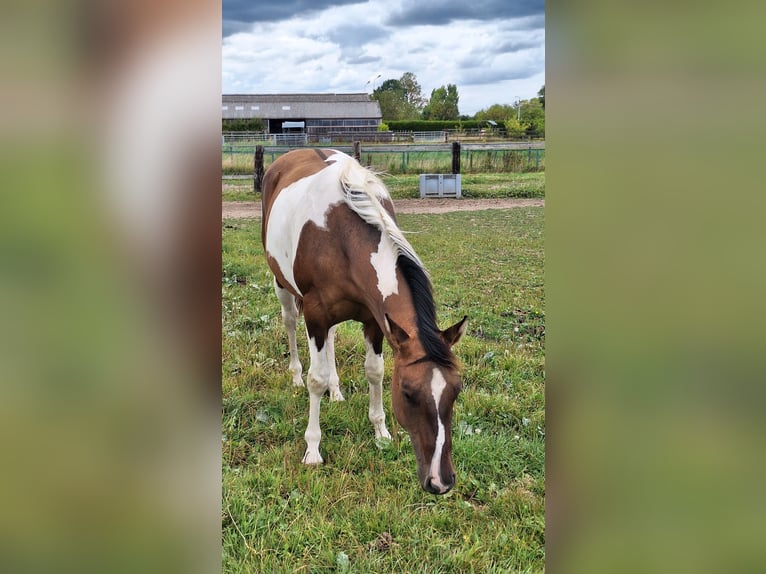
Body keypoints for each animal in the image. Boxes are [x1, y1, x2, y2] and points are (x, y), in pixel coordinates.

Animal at [261, 148, 467, 494]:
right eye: (408, 393)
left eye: (456, 390)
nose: (440, 481)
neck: (339, 233)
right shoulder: (315, 314)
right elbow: (315, 379)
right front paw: (313, 449)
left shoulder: (375, 320)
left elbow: (375, 371)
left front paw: (380, 432)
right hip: (283, 285)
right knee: (290, 323)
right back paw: (296, 376)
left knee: (330, 339)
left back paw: (336, 391)